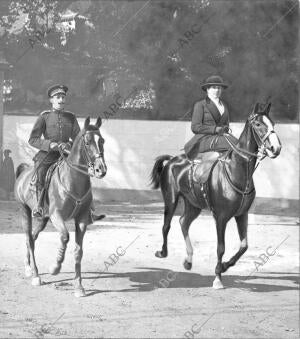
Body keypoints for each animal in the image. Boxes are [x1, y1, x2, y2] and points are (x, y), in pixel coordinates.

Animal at [14, 117, 108, 298]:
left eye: (102, 141)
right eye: (87, 142)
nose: (101, 170)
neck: (72, 180)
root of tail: (23, 172)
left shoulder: (82, 219)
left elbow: (78, 251)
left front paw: (78, 286)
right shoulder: (56, 216)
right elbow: (65, 237)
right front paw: (55, 268)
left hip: (43, 219)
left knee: (33, 237)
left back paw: (28, 267)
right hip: (25, 211)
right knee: (29, 239)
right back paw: (35, 275)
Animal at [151, 103, 282, 290]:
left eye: (273, 123)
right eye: (258, 124)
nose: (276, 148)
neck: (236, 170)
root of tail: (171, 160)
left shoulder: (242, 215)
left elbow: (244, 245)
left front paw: (225, 266)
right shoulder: (221, 217)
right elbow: (221, 248)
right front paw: (218, 278)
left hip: (194, 205)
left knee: (183, 222)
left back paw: (188, 261)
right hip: (171, 199)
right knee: (166, 226)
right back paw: (162, 252)